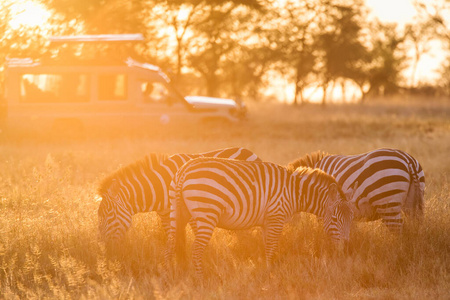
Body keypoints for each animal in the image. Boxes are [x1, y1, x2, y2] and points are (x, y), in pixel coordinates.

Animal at [98, 148, 260, 244]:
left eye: (109, 215)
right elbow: (171, 238)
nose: (104, 247)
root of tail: (249, 151)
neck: (160, 186)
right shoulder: (165, 215)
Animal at [163, 158, 354, 278]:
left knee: (171, 245)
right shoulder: (276, 217)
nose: (346, 249)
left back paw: (172, 274)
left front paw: (264, 270)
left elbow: (265, 247)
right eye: (334, 219)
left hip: (179, 212)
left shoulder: (267, 222)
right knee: (195, 249)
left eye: (351, 220)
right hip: (206, 213)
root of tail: (183, 171)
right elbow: (271, 247)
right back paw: (201, 279)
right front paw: (270, 273)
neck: (295, 193)